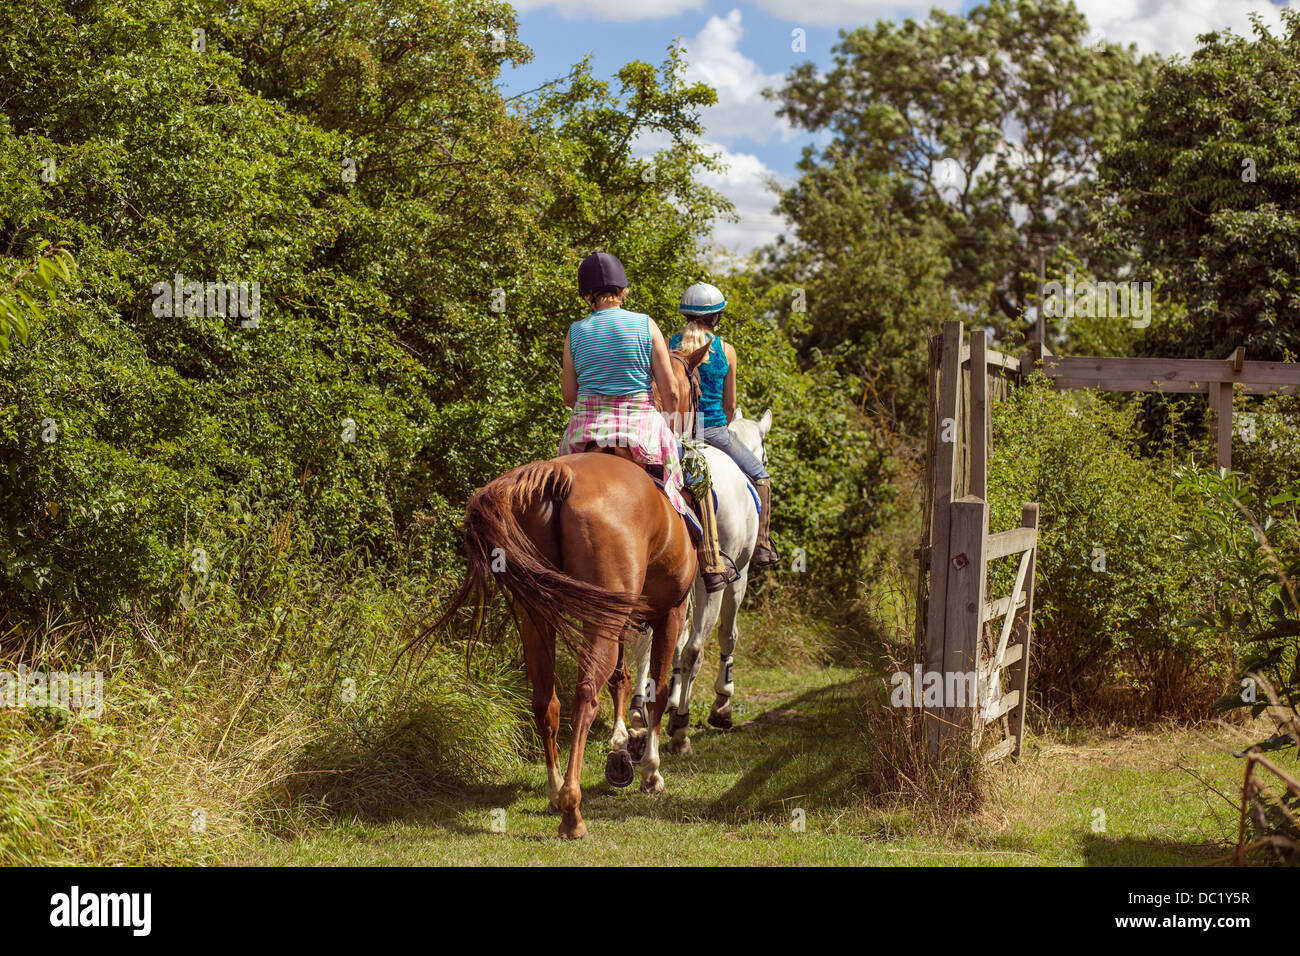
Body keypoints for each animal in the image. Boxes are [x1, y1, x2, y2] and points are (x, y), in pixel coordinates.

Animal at [426, 343, 712, 837]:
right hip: (603, 619)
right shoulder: (670, 612)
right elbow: (655, 690)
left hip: (536, 614)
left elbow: (623, 678)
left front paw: (622, 751)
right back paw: (572, 811)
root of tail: (557, 478)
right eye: (694, 390)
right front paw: (650, 770)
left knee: (546, 699)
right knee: (583, 693)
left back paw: (555, 788)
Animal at [624, 408, 764, 754]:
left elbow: (671, 643)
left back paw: (639, 711)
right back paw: (680, 728)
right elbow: (728, 635)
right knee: (695, 649)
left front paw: (667, 700)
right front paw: (722, 703)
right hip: (713, 581)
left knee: (645, 641)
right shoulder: (738, 576)